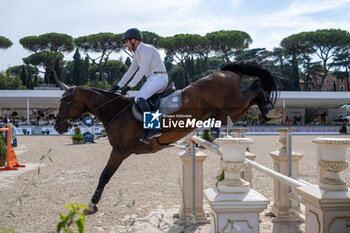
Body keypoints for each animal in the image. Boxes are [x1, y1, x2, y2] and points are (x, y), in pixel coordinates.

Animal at [54, 62, 284, 215]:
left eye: (65, 101)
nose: (57, 126)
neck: (115, 111)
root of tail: (225, 72)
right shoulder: (120, 151)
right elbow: (105, 175)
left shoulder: (120, 151)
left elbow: (104, 176)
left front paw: (91, 204)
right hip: (232, 112)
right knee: (253, 95)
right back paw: (270, 113)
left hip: (233, 105)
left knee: (255, 87)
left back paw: (272, 112)